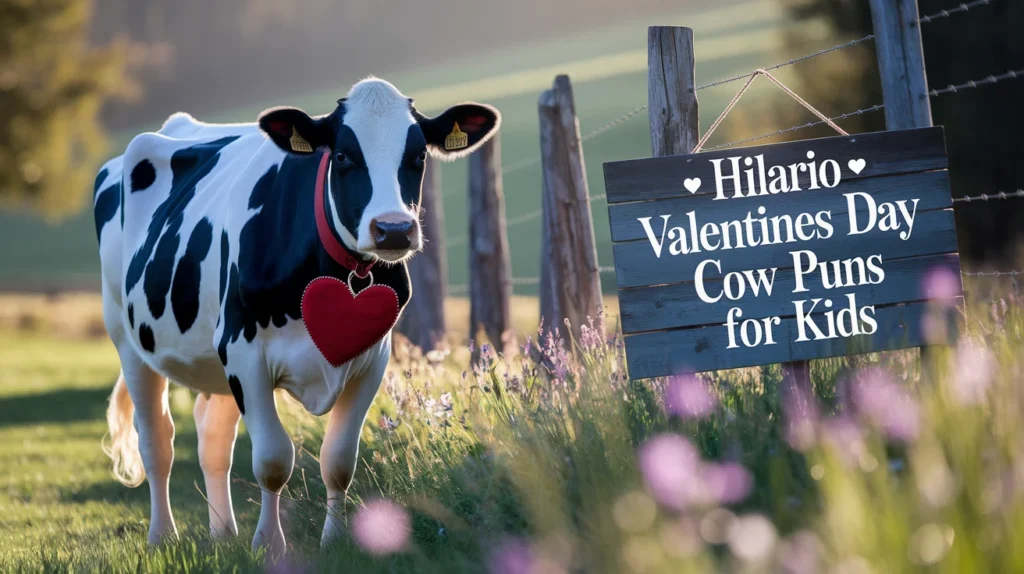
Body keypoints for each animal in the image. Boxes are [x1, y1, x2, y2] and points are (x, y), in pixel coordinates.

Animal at [93, 77, 500, 554]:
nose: (394, 230)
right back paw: (163, 536)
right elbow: (272, 460)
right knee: (157, 441)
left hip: (212, 358)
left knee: (213, 440)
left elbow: (338, 460)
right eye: (341, 156)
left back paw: (223, 534)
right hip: (128, 340)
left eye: (419, 156)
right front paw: (269, 546)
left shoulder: (373, 360)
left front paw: (334, 541)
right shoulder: (243, 352)